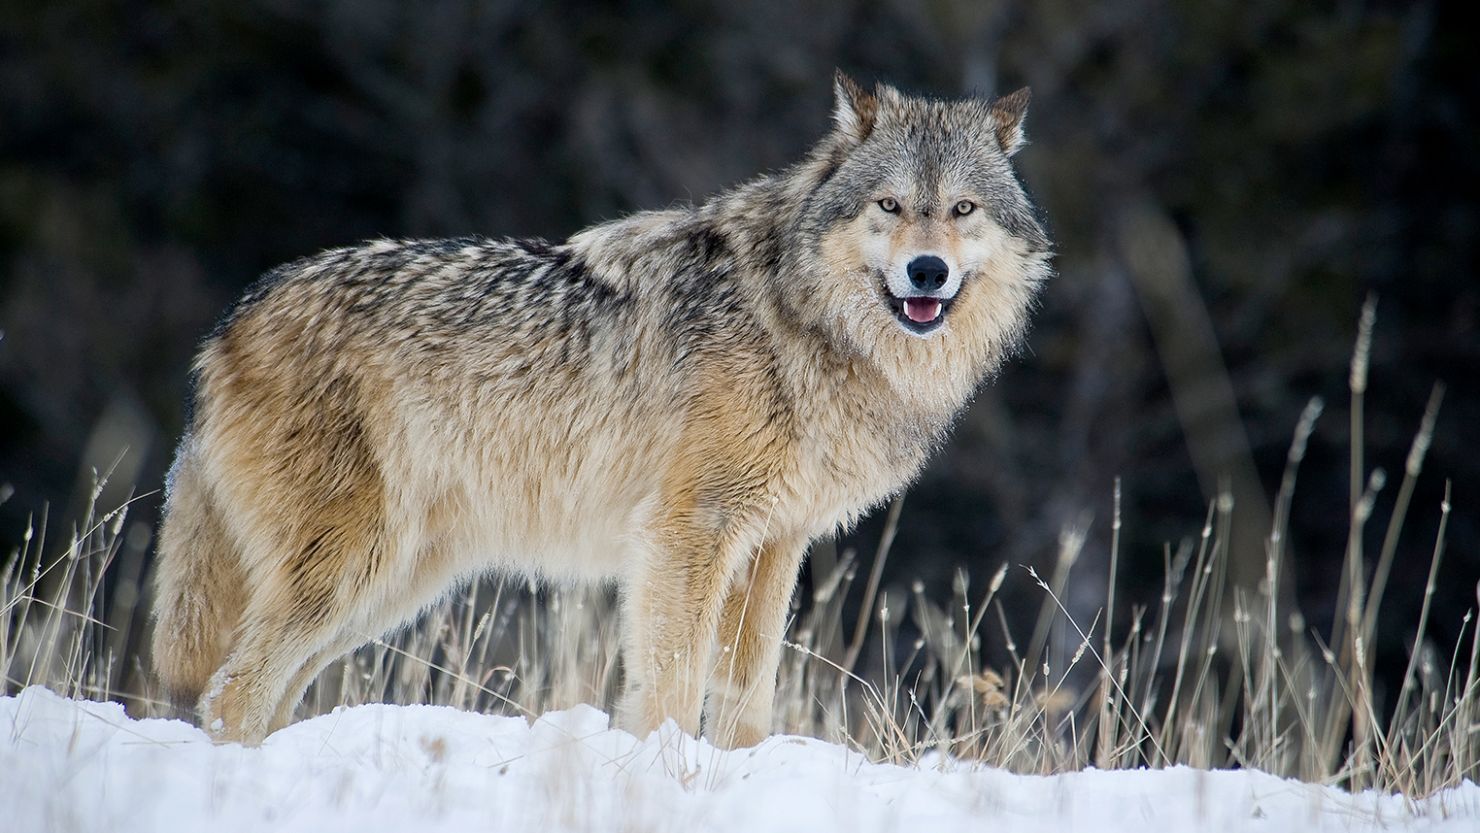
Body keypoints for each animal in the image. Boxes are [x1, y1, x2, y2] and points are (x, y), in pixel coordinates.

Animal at [150, 72, 1051, 747]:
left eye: (962, 209)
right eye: (891, 206)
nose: (928, 271)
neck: (798, 321)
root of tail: (229, 322)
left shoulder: (774, 544)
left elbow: (747, 694)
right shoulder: (688, 532)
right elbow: (672, 683)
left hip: (390, 583)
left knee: (262, 692)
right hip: (352, 568)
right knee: (231, 690)